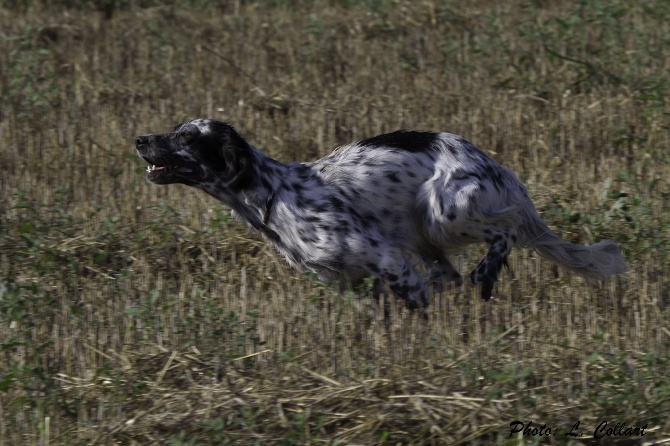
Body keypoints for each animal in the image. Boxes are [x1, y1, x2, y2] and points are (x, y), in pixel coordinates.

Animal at [135, 120, 632, 312]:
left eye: (186, 136)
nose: (140, 139)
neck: (275, 194)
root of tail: (495, 165)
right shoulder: (353, 278)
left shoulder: (385, 258)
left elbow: (414, 300)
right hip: (426, 233)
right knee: (448, 273)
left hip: (441, 211)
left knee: (503, 232)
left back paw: (487, 274)